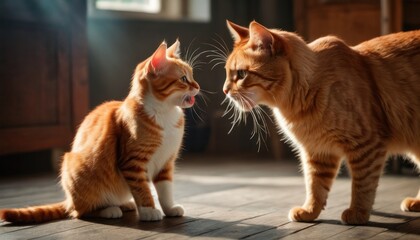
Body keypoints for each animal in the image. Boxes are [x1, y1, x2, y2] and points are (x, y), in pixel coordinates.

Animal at [0, 39, 200, 223]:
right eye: (183, 79)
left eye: (192, 75)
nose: (197, 86)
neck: (165, 112)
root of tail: (69, 200)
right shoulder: (132, 163)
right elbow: (142, 189)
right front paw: (148, 210)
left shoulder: (166, 162)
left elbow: (165, 190)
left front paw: (169, 208)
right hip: (77, 173)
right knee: (79, 212)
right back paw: (108, 210)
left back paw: (125, 204)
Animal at [223, 20, 420, 225]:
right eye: (227, 73)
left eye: (241, 74)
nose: (224, 90)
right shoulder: (318, 151)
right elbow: (315, 186)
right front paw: (309, 211)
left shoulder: (366, 146)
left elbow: (362, 184)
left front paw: (358, 212)